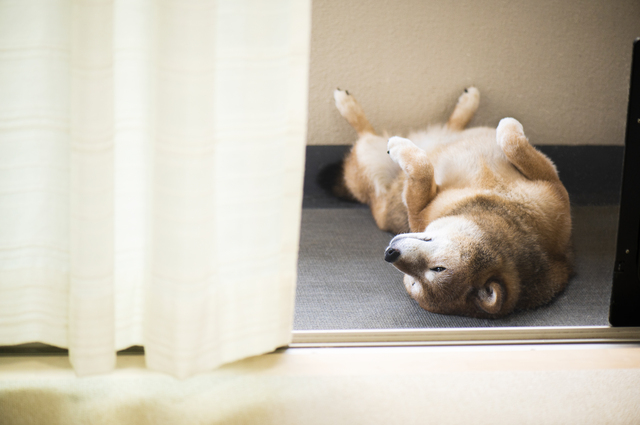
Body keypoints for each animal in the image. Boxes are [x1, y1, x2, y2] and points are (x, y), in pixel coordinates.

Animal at [328, 87, 572, 318]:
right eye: (413, 281)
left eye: (436, 270)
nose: (390, 254)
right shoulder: (555, 190)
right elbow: (513, 145)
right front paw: (507, 126)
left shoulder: (418, 213)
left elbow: (423, 168)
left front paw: (401, 149)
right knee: (448, 128)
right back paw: (467, 103)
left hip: (366, 160)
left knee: (366, 133)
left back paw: (348, 105)